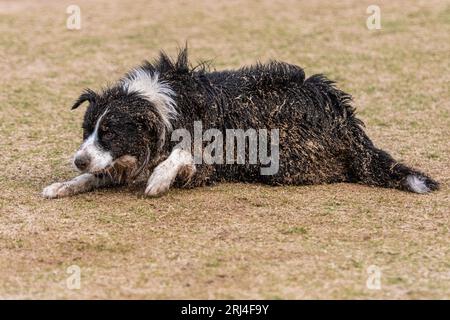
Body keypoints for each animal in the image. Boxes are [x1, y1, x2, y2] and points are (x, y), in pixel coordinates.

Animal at [43, 47, 440, 198]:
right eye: (88, 131)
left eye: (109, 133)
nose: (77, 159)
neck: (158, 106)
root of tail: (346, 117)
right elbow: (95, 175)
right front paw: (64, 184)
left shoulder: (205, 158)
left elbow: (181, 155)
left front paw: (158, 179)